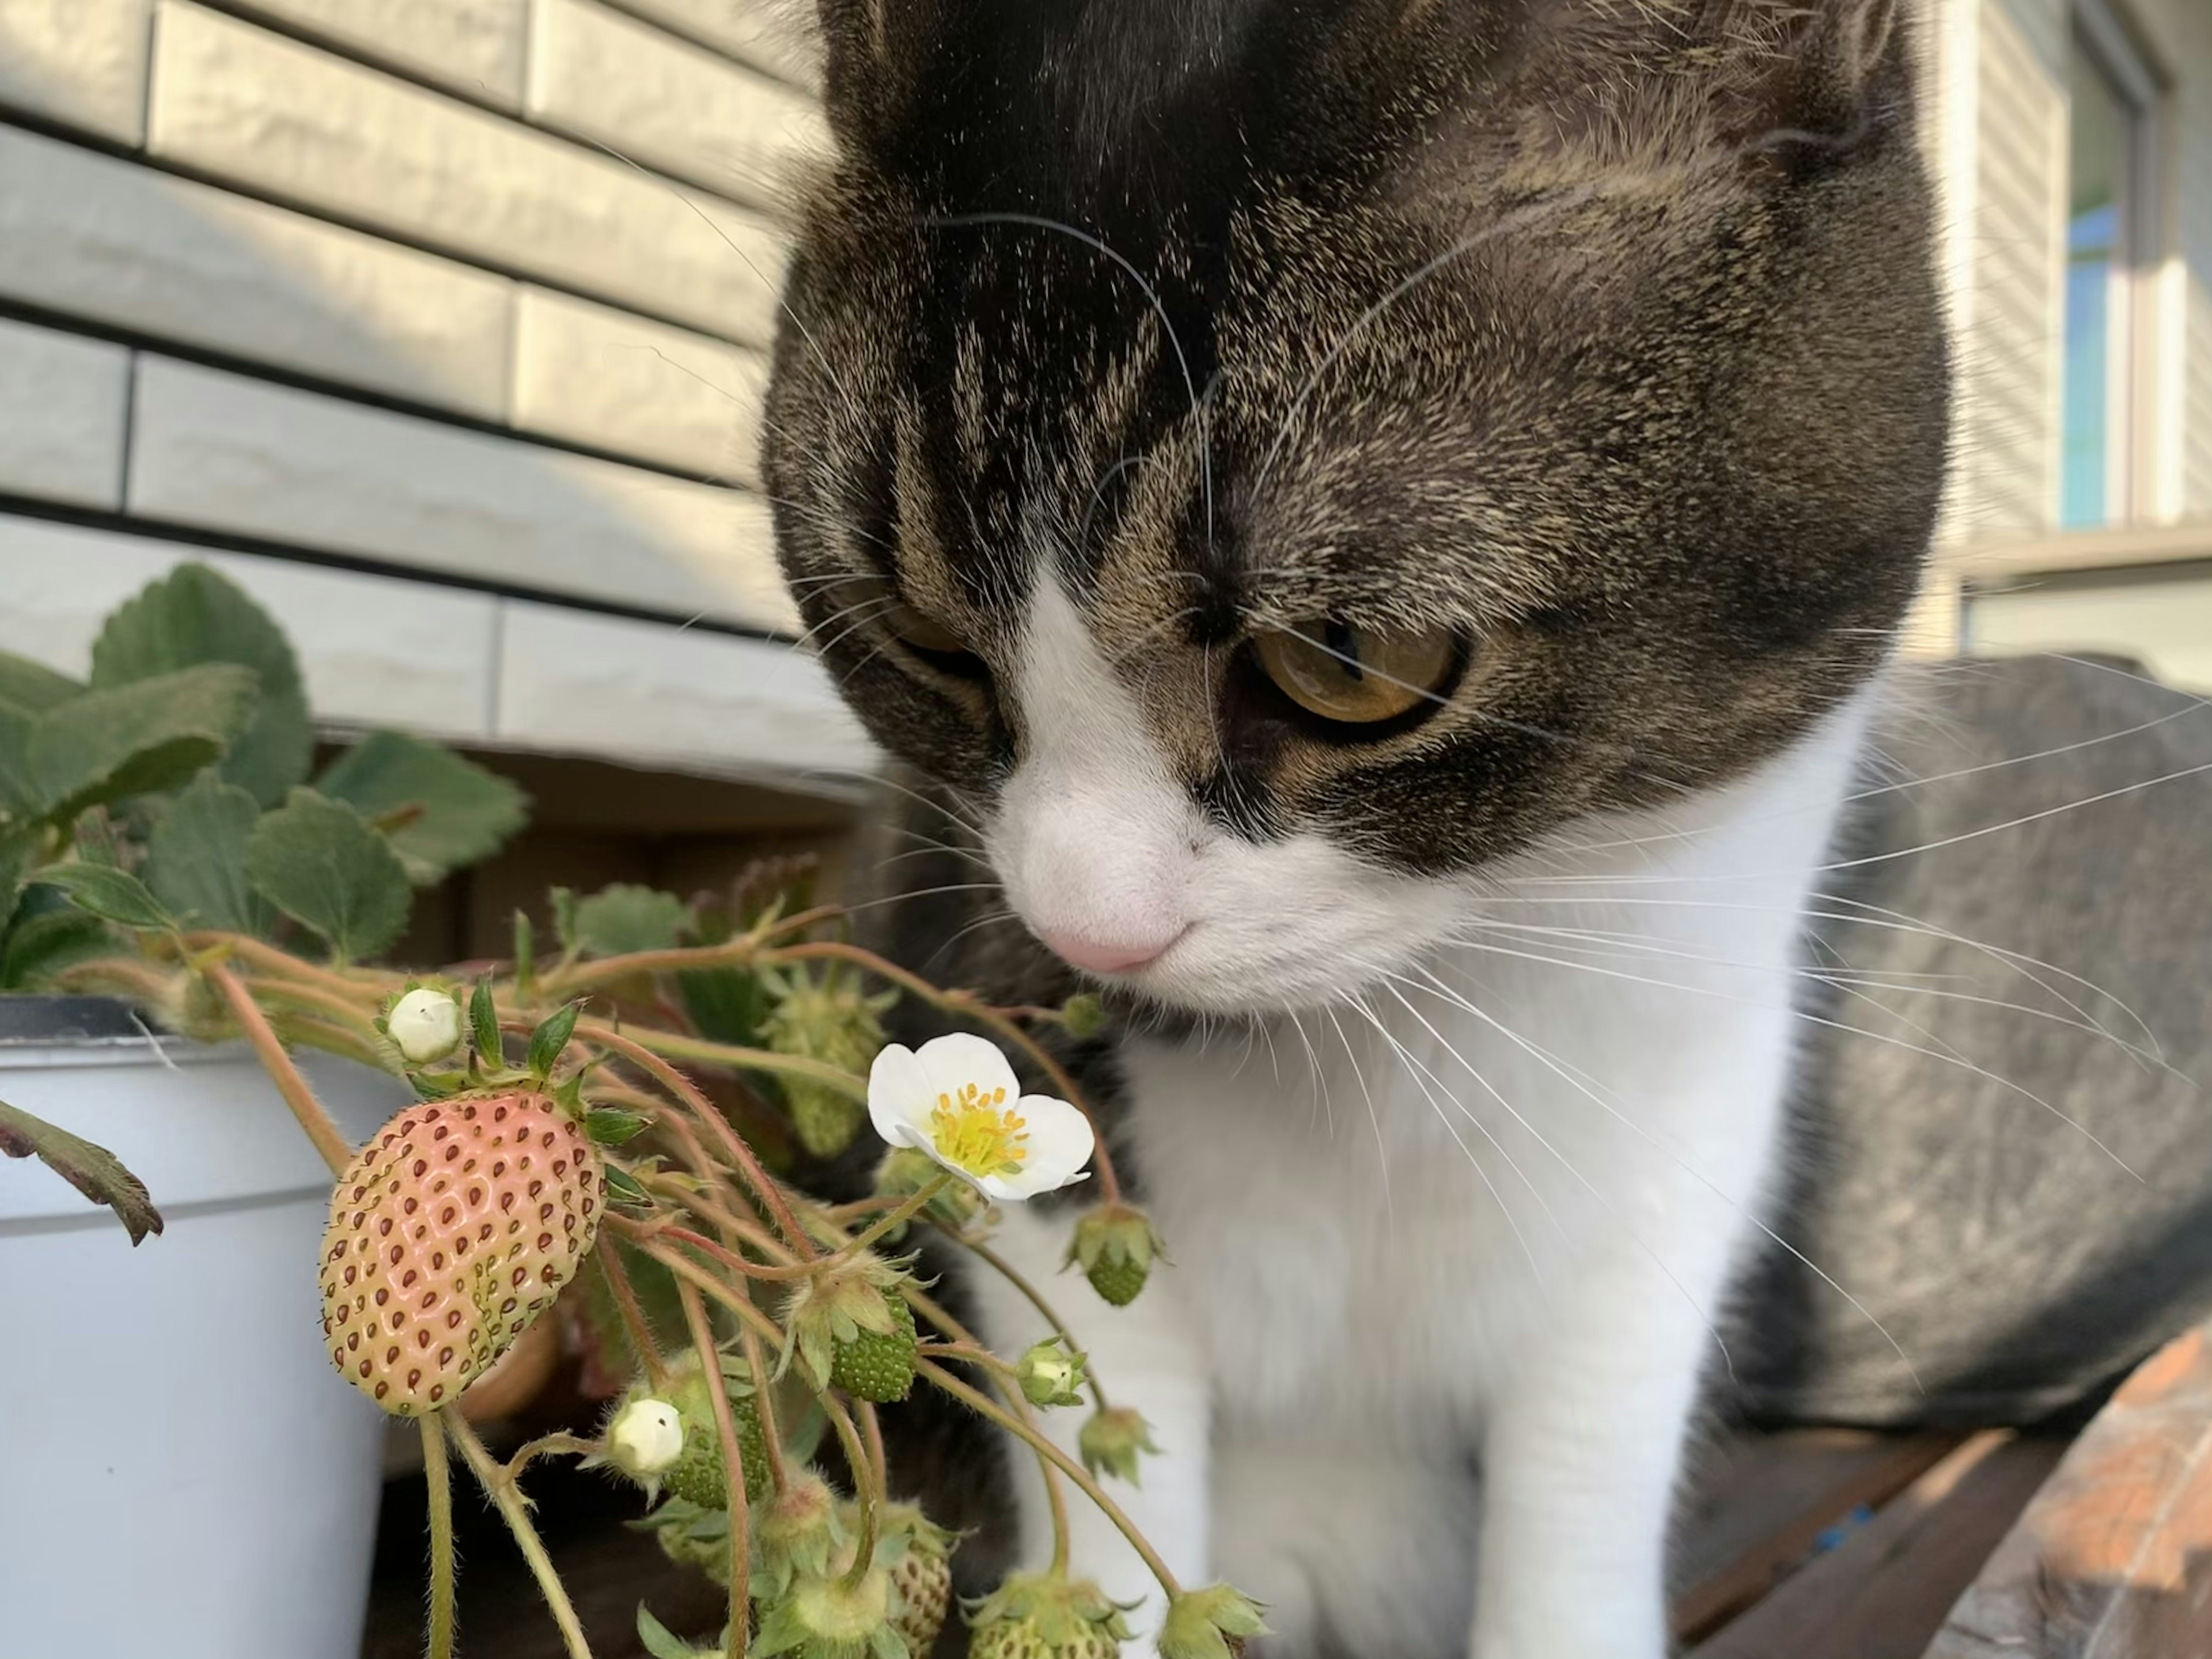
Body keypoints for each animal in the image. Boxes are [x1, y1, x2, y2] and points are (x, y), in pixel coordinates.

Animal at [770, 3, 1946, 1659]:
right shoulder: (967, 981)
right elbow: (1093, 1412)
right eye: (923, 636)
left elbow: (1588, 1452)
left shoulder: (1686, 1098)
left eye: (1349, 661)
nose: (1084, 927)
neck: (1389, 1045)